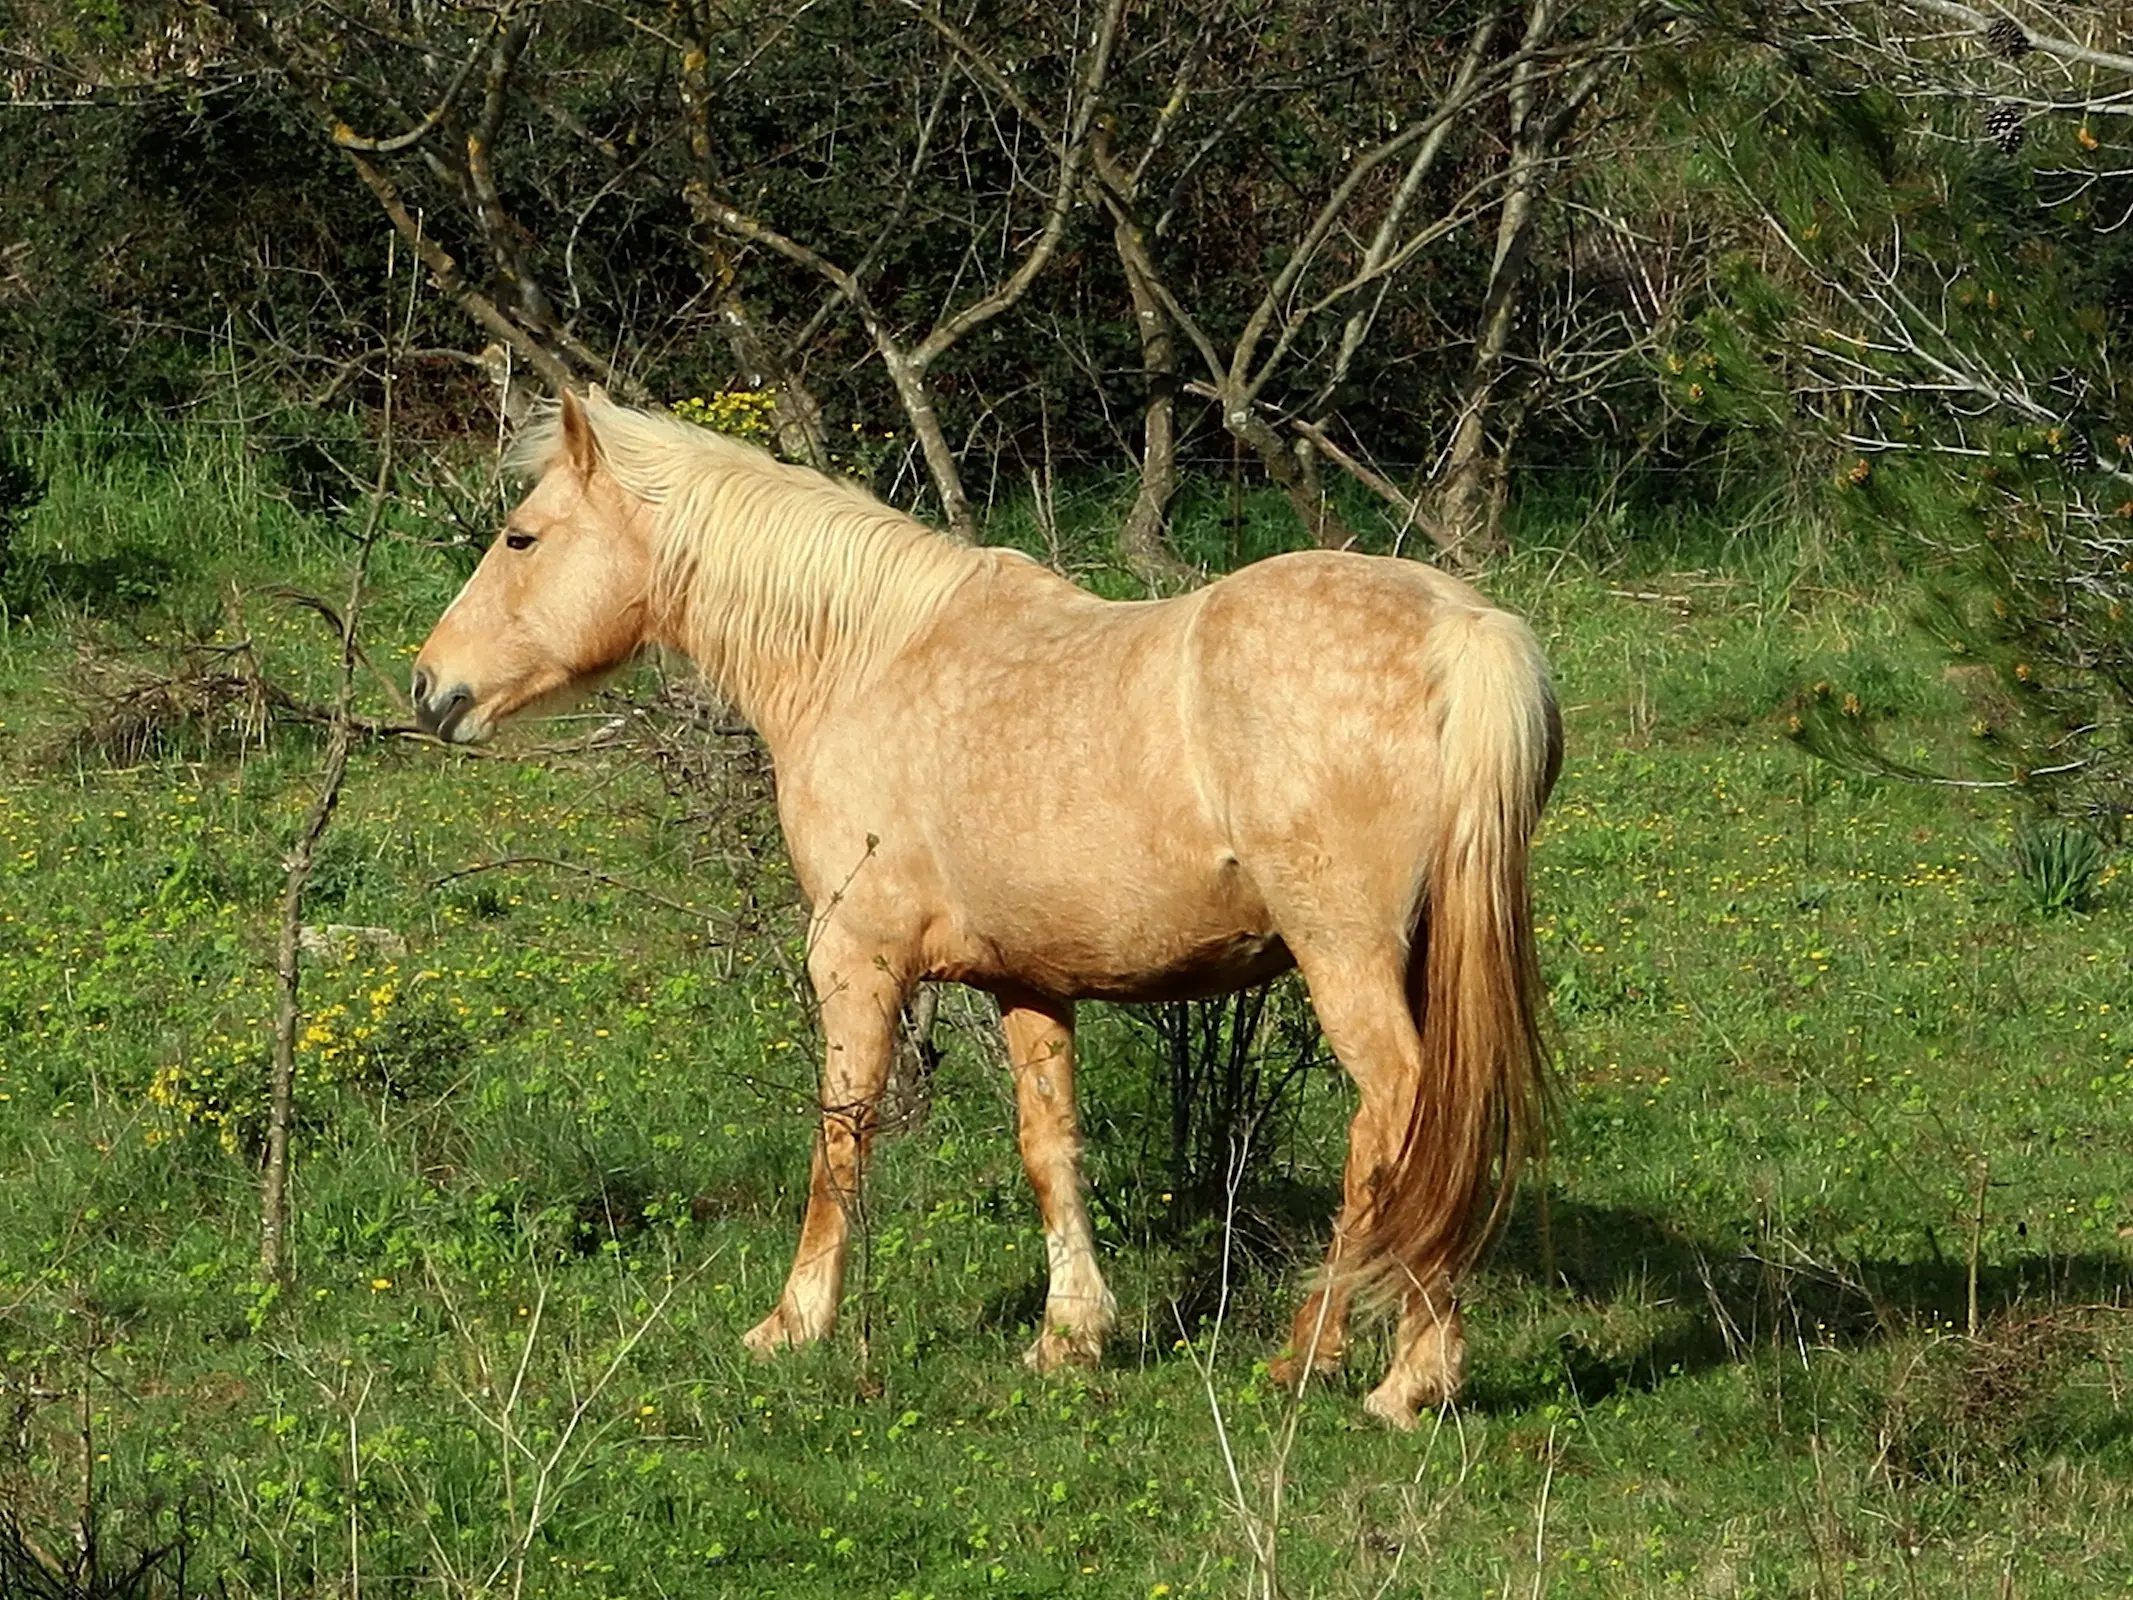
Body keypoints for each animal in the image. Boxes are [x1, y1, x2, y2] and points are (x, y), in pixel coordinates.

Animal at [407, 392, 1561, 1425]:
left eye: (520, 536)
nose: (431, 687)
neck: (864, 660)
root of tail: (1462, 629)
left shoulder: (855, 959)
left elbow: (841, 1138)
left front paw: (794, 1323)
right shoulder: (1030, 981)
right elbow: (1049, 1148)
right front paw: (1070, 1336)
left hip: (1346, 956)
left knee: (1401, 1115)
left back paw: (1365, 1371)